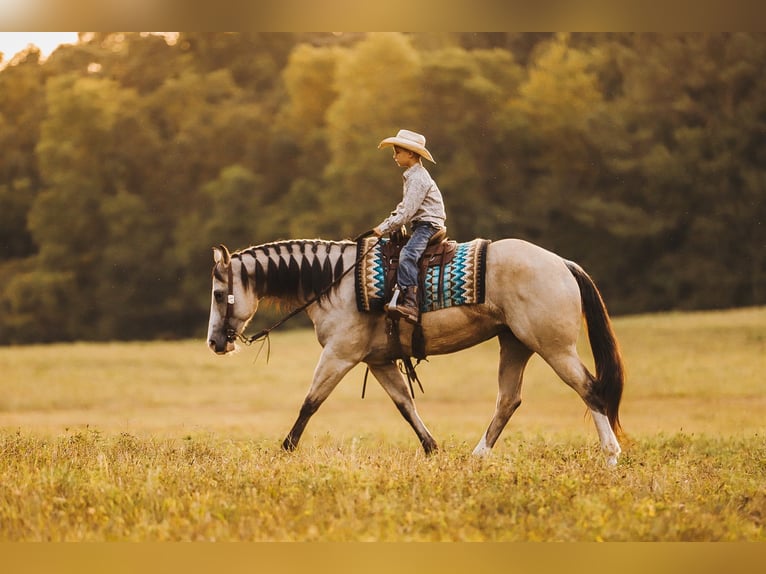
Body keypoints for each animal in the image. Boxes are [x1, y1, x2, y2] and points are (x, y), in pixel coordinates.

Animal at [207, 238, 628, 468]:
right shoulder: (377, 361)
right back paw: (476, 457)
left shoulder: (340, 355)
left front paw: (285, 449)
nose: (214, 342)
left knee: (590, 390)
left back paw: (610, 456)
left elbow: (310, 402)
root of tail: (563, 263)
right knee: (508, 400)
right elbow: (404, 404)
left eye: (218, 293)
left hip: (554, 347)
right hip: (516, 344)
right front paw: (432, 449)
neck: (335, 283)